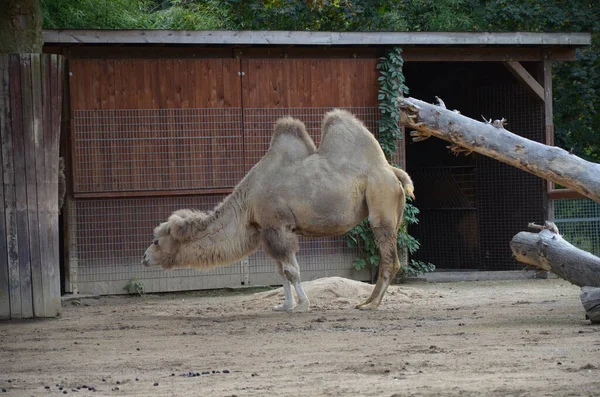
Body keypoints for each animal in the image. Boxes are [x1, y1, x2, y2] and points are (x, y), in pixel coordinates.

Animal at [142, 108, 412, 310]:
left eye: (156, 241)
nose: (144, 258)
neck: (247, 202)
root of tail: (392, 171)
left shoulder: (277, 226)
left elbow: (291, 270)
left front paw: (303, 304)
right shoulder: (266, 230)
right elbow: (281, 272)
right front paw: (285, 306)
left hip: (381, 200)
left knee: (389, 257)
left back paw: (371, 304)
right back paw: (366, 302)